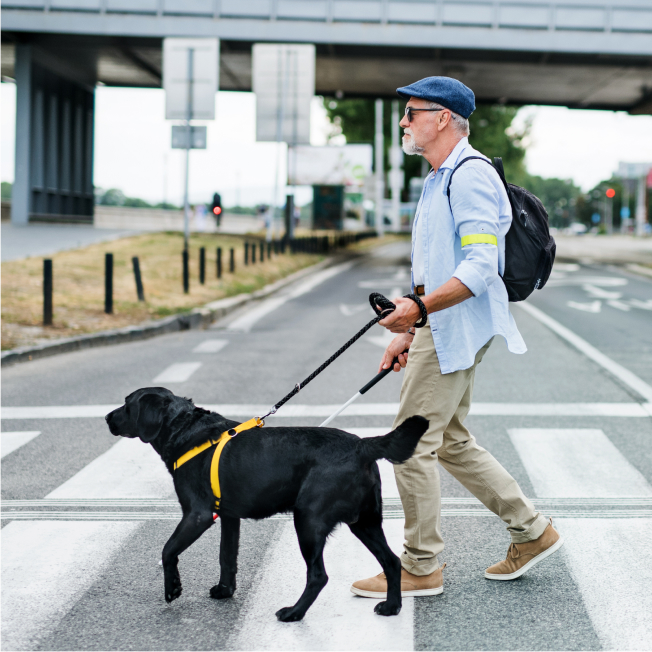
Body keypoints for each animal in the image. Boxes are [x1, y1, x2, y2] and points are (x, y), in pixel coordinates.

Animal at [105, 388, 430, 620]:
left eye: (127, 404)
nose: (107, 418)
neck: (183, 429)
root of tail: (363, 445)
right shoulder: (229, 518)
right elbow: (226, 557)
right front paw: (225, 591)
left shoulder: (197, 515)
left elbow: (168, 550)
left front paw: (172, 588)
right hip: (365, 522)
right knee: (392, 561)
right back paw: (391, 607)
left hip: (308, 521)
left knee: (318, 575)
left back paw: (294, 613)